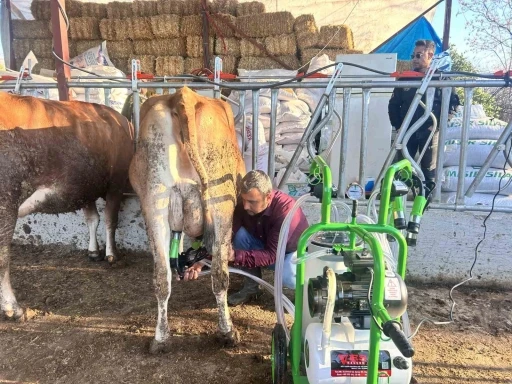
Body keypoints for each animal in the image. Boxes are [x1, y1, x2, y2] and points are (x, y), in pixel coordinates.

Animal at [0, 93, 134, 320]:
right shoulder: (115, 182)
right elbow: (110, 219)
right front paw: (112, 254)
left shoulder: (85, 187)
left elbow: (92, 219)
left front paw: (94, 251)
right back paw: (13, 308)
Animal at [130, 85, 246, 352]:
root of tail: (183, 95)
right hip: (221, 200)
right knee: (219, 275)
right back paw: (227, 332)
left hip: (154, 202)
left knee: (161, 277)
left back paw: (160, 339)